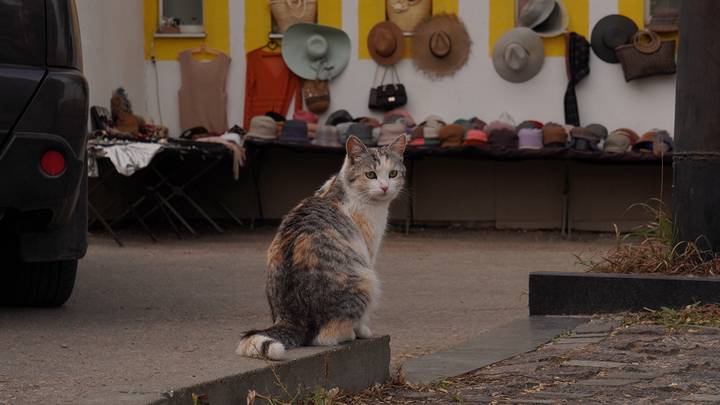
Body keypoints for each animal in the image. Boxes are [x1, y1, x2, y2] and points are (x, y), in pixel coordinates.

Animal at [236, 134, 404, 358]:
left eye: (393, 174)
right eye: (370, 175)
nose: (385, 187)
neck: (343, 189)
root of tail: (291, 318)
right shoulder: (368, 253)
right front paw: (363, 331)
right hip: (366, 279)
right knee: (324, 337)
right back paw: (350, 333)